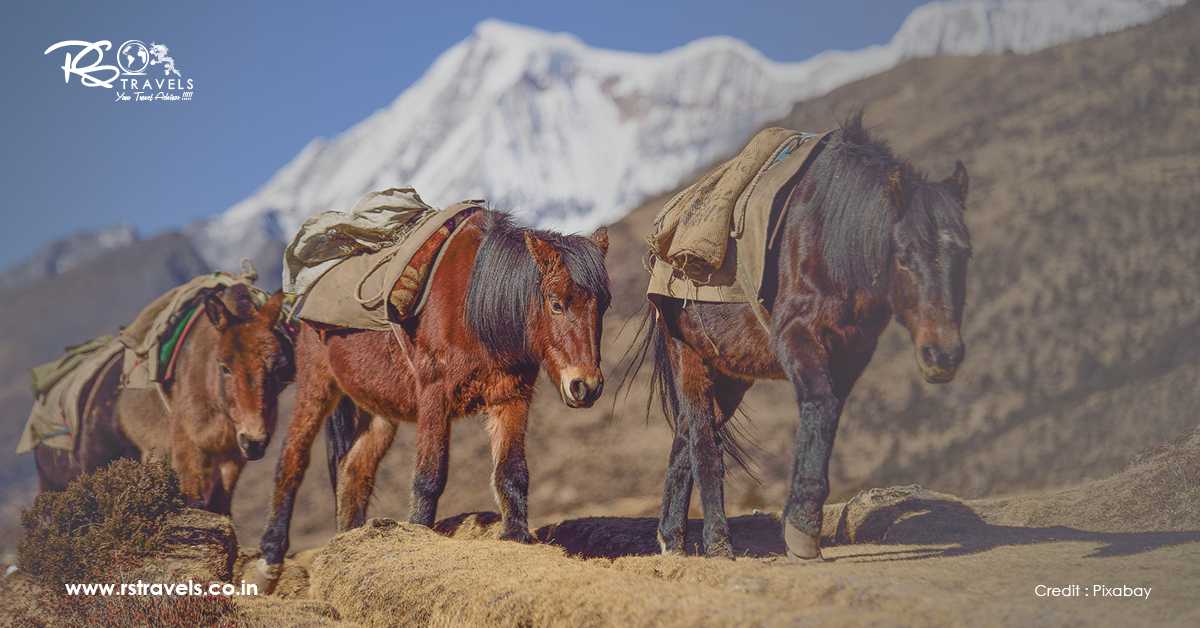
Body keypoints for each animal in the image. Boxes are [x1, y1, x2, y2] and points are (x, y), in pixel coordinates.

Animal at [32, 285, 295, 516]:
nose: (254, 441)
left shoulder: (231, 460)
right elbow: (194, 502)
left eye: (277, 366)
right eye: (224, 367)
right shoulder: (186, 454)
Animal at [253, 210, 609, 590]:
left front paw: (515, 538)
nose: (585, 386)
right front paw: (419, 535)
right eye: (556, 303)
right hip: (316, 387)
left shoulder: (512, 398)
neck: (476, 306)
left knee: (354, 470)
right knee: (291, 460)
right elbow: (429, 477)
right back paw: (269, 561)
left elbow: (512, 473)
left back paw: (348, 544)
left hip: (378, 411)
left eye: (602, 306)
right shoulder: (434, 397)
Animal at [633, 116, 969, 559]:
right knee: (704, 444)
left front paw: (802, 525)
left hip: (729, 374)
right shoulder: (797, 337)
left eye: (965, 254)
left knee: (685, 436)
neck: (831, 237)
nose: (942, 355)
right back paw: (718, 542)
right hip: (688, 356)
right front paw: (802, 532)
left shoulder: (851, 353)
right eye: (904, 257)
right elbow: (819, 405)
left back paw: (672, 540)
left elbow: (827, 415)